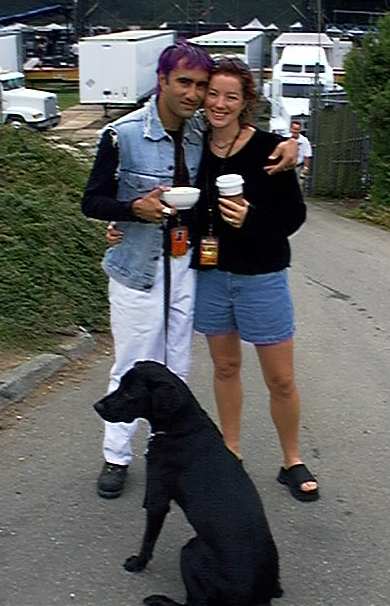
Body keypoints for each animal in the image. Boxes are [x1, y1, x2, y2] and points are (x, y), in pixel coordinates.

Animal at [94, 364, 284, 604]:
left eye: (130, 393)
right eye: (120, 385)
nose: (97, 406)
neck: (182, 426)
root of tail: (255, 596)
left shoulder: (157, 499)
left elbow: (148, 539)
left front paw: (138, 563)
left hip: (190, 550)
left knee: (195, 602)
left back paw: (159, 599)